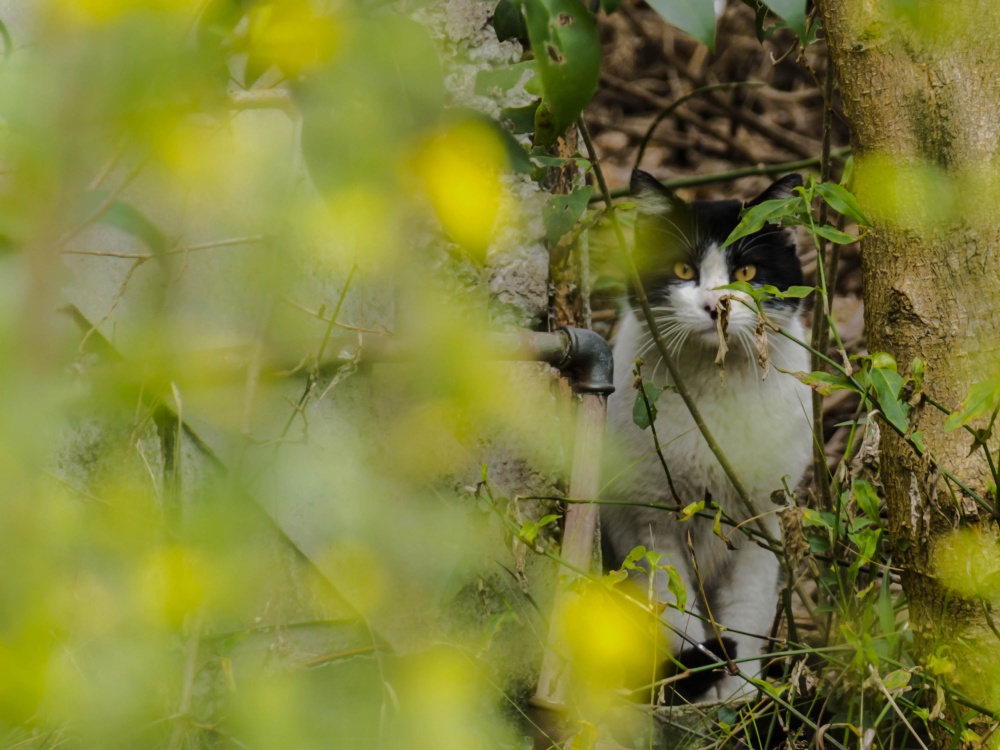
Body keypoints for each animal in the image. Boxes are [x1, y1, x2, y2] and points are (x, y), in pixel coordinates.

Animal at [596, 170, 816, 704]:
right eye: (682, 268)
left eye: (748, 272)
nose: (715, 304)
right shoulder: (644, 519)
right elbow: (673, 610)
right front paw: (695, 681)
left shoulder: (762, 518)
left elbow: (748, 610)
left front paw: (738, 698)